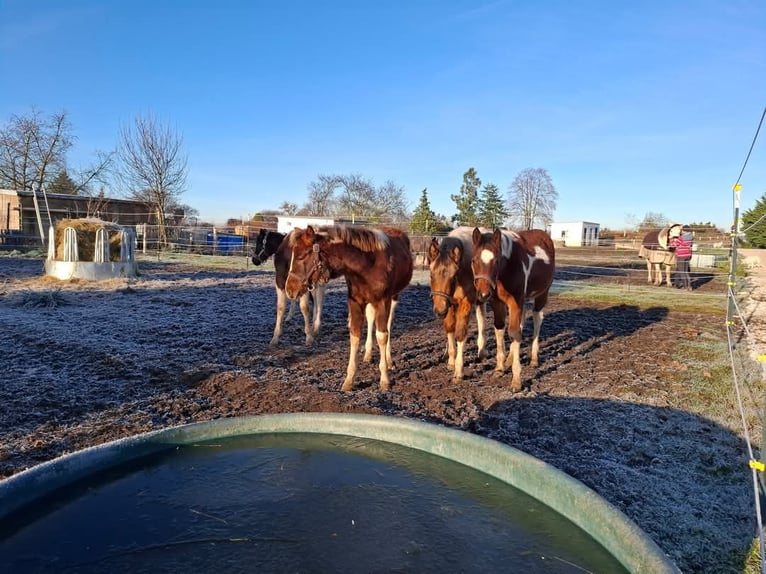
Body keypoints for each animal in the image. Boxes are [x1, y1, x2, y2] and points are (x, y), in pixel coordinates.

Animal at [284, 227, 414, 394]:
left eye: (301, 257)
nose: (289, 289)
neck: (367, 265)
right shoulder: (355, 302)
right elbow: (355, 335)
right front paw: (349, 380)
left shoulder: (382, 301)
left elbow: (382, 336)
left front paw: (384, 379)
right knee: (371, 318)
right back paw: (368, 354)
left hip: (394, 297)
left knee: (388, 325)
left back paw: (389, 359)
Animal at [428, 227, 488, 384]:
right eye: (431, 275)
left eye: (453, 276)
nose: (439, 311)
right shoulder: (449, 303)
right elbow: (450, 327)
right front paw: (451, 360)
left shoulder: (465, 303)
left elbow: (460, 334)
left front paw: (458, 371)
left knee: (481, 318)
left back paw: (482, 351)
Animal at [472, 227, 556, 394]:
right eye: (474, 260)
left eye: (496, 261)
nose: (483, 294)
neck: (507, 267)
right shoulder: (497, 302)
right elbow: (500, 329)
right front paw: (499, 368)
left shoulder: (515, 301)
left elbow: (514, 332)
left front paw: (516, 380)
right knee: (521, 322)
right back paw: (509, 359)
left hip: (542, 294)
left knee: (537, 319)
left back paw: (534, 359)